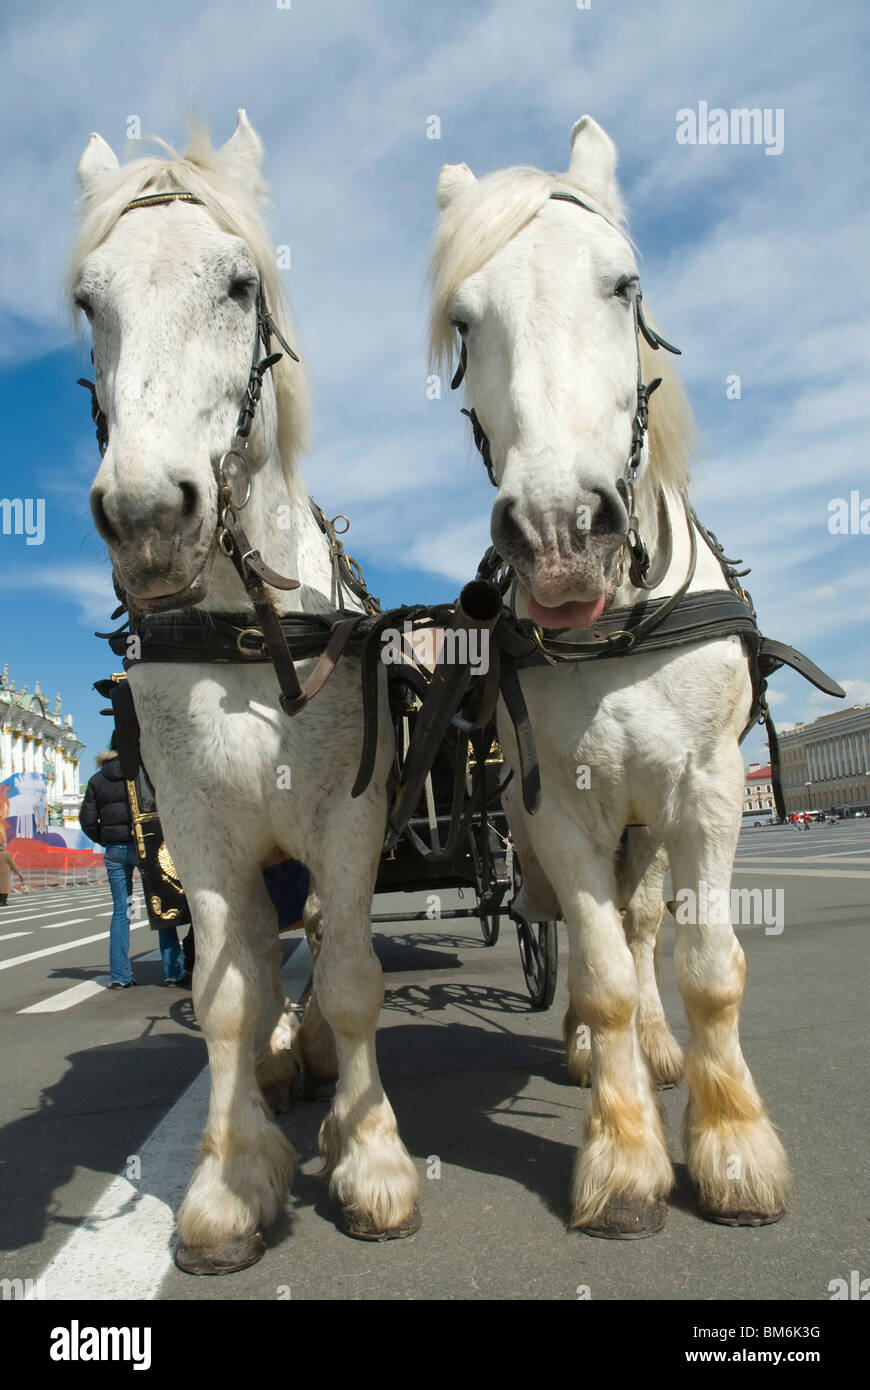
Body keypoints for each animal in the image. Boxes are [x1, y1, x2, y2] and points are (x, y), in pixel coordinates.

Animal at [69, 112, 420, 1272]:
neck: (243, 632)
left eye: (236, 284)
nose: (146, 517)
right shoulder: (201, 834)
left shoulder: (349, 819)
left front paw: (372, 1157)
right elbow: (226, 995)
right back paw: (277, 1064)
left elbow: (350, 976)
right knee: (267, 958)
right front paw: (231, 1180)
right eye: (89, 301)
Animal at [428, 116, 791, 1236]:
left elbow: (707, 968)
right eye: (465, 320)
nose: (556, 537)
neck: (620, 626)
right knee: (595, 945)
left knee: (641, 927)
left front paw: (732, 1144)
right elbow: (598, 980)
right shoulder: (560, 812)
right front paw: (625, 1158)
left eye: (624, 285)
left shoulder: (708, 794)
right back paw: (599, 1059)